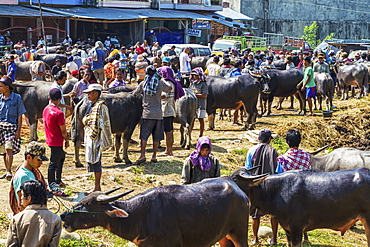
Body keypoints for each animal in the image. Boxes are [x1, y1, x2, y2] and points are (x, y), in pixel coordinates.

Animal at [60, 178, 250, 246]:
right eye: (81, 201)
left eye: (89, 205)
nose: (62, 215)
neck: (139, 215)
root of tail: (241, 193)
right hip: (224, 236)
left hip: (240, 233)